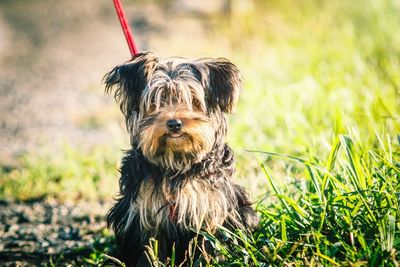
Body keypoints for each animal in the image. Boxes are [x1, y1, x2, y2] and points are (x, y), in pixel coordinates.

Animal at [104, 52, 258, 267]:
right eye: (156, 101)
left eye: (193, 100)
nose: (174, 123)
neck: (176, 163)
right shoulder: (143, 212)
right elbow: (148, 249)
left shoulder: (211, 207)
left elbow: (208, 245)